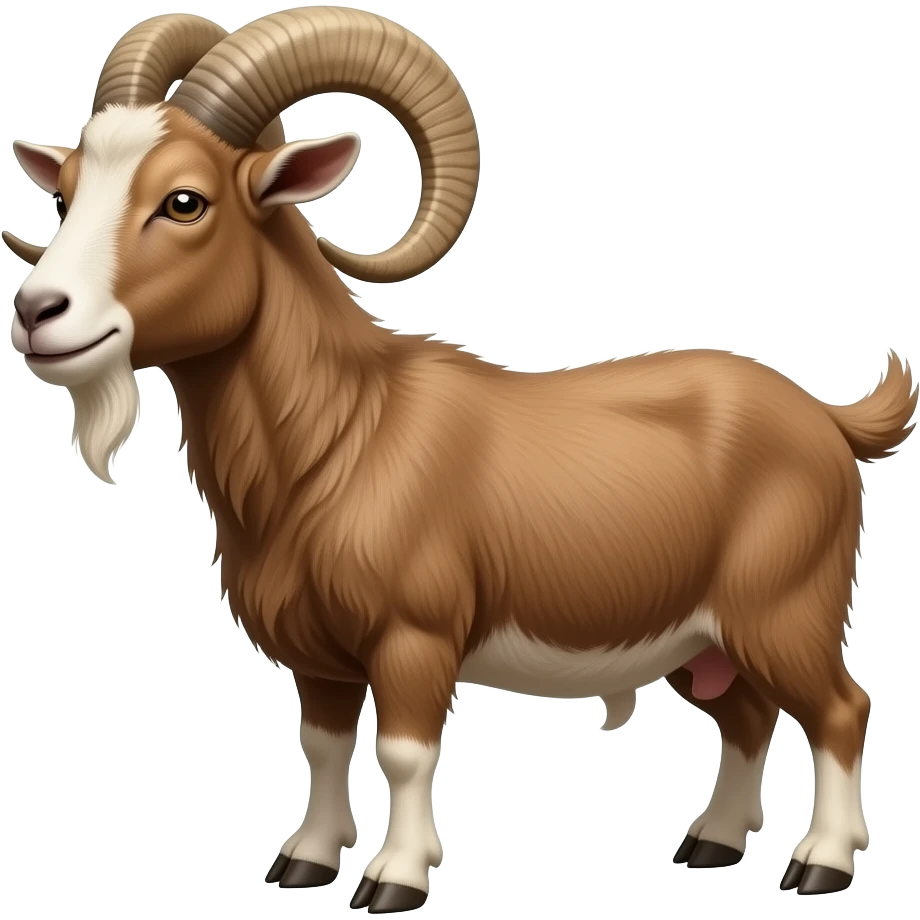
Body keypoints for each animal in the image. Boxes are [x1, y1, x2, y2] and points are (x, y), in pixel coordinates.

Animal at [5, 8, 916, 909]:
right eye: (67, 191)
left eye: (184, 201)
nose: (37, 311)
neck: (342, 434)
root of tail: (827, 421)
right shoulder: (320, 659)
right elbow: (324, 745)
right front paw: (304, 862)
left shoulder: (414, 638)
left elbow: (405, 753)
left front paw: (393, 879)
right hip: (702, 641)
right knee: (750, 719)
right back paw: (713, 844)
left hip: (784, 613)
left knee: (841, 710)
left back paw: (822, 864)